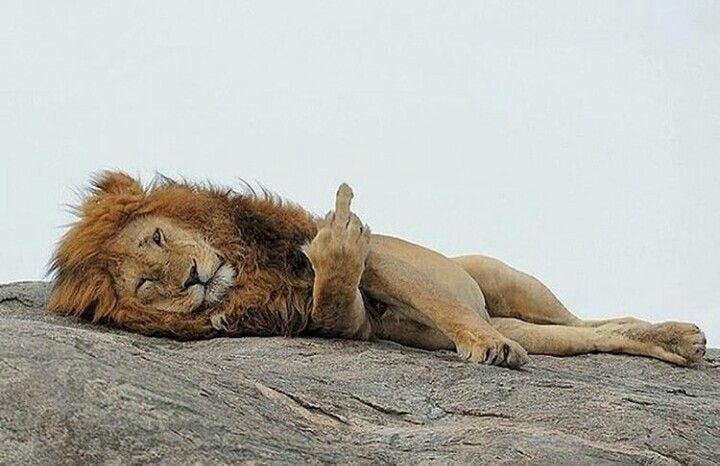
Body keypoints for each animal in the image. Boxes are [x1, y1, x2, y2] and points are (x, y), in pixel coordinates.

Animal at [48, 171, 707, 369]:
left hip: (504, 282)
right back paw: (671, 344)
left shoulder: (378, 255)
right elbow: (336, 302)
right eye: (145, 284)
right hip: (531, 326)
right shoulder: (341, 319)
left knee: (583, 318)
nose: (190, 277)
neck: (248, 269)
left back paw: (679, 335)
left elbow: (394, 272)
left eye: (159, 237)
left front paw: (485, 348)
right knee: (593, 334)